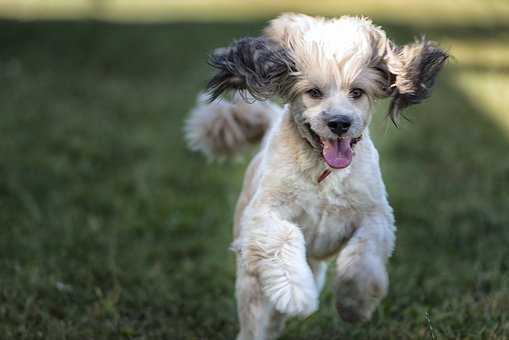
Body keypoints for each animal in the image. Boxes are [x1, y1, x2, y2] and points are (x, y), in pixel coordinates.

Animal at [185, 13, 446, 340]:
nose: (339, 123)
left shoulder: (376, 215)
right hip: (249, 279)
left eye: (357, 92)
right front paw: (296, 295)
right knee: (255, 315)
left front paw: (354, 305)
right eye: (314, 92)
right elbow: (284, 237)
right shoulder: (263, 215)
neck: (324, 175)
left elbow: (361, 259)